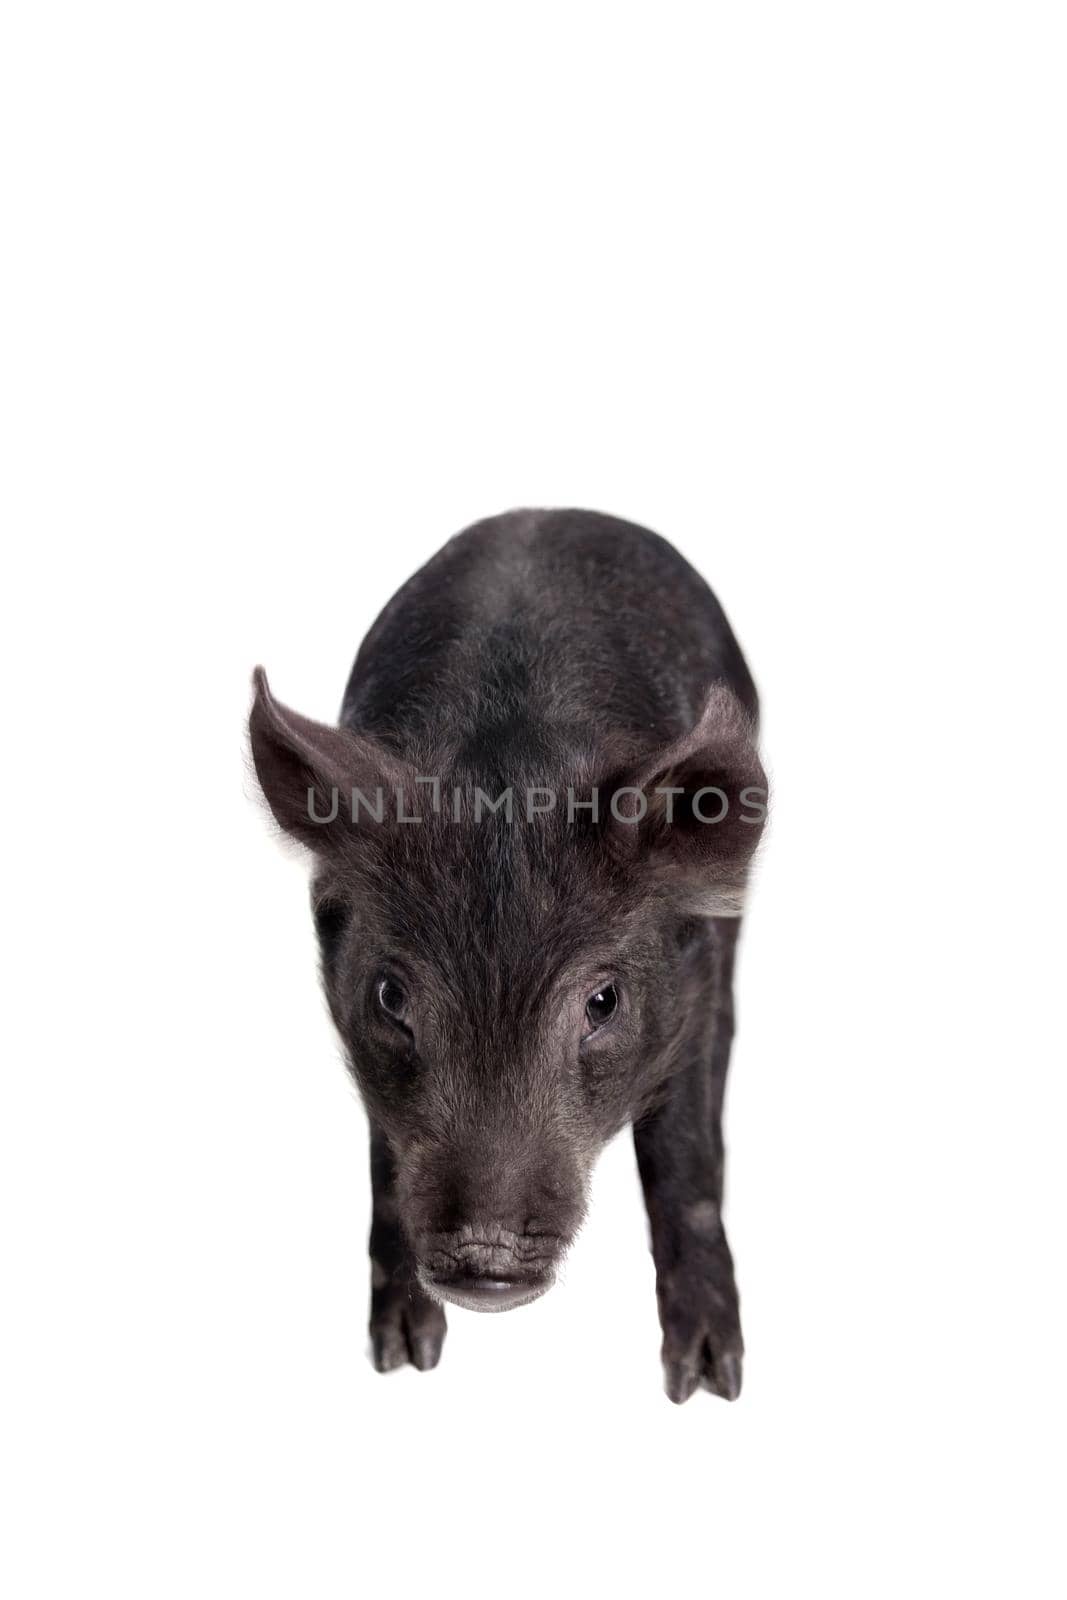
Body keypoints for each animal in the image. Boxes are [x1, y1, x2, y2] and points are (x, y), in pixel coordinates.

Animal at [251, 508, 767, 1401]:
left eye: (603, 1001)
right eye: (390, 996)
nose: (481, 1261)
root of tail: (552, 510)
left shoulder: (694, 977)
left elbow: (682, 1152)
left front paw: (707, 1383)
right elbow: (385, 1159)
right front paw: (403, 1359)